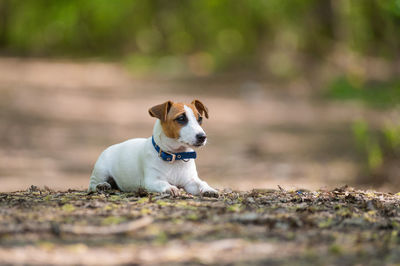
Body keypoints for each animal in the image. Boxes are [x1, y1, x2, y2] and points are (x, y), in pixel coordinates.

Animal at [88, 100, 219, 197]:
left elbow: (202, 183)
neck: (175, 156)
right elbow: (163, 183)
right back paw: (102, 185)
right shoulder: (152, 181)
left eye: (200, 119)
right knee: (93, 184)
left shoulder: (190, 181)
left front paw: (209, 189)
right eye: (181, 118)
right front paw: (171, 187)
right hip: (101, 171)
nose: (202, 137)